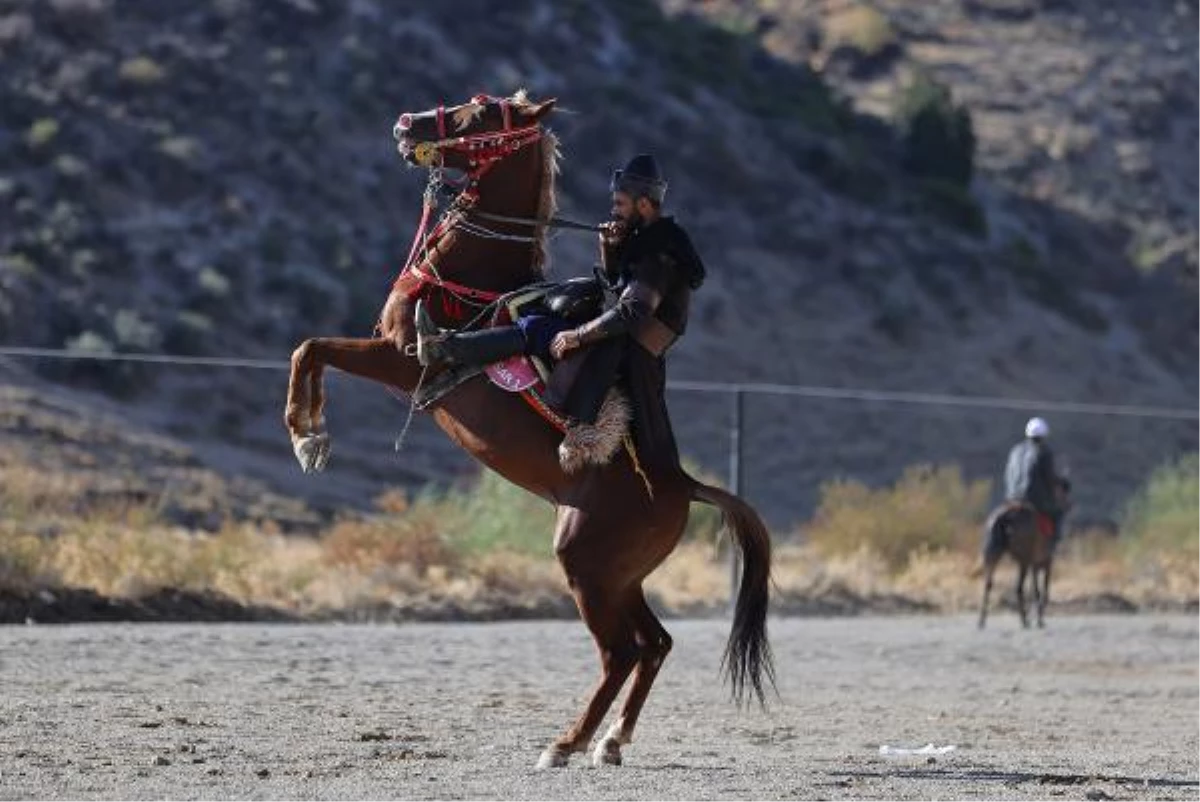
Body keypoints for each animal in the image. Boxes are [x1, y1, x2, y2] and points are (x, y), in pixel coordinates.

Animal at [282, 90, 772, 768]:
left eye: (478, 115)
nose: (406, 125)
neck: (474, 279)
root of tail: (683, 484)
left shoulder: (400, 361)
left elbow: (313, 349)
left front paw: (308, 437)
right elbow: (310, 349)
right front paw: (309, 435)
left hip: (587, 568)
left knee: (621, 651)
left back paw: (566, 743)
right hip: (619, 577)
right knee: (655, 644)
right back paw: (610, 742)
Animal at [979, 480, 1075, 629]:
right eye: (1064, 491)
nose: (1070, 505)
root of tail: (1005, 517)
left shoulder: (1034, 565)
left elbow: (1034, 590)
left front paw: (1035, 616)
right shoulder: (1045, 562)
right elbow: (1042, 591)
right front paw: (1039, 618)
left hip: (992, 554)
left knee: (988, 584)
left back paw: (982, 621)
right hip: (1023, 559)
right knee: (1018, 588)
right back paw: (1024, 620)